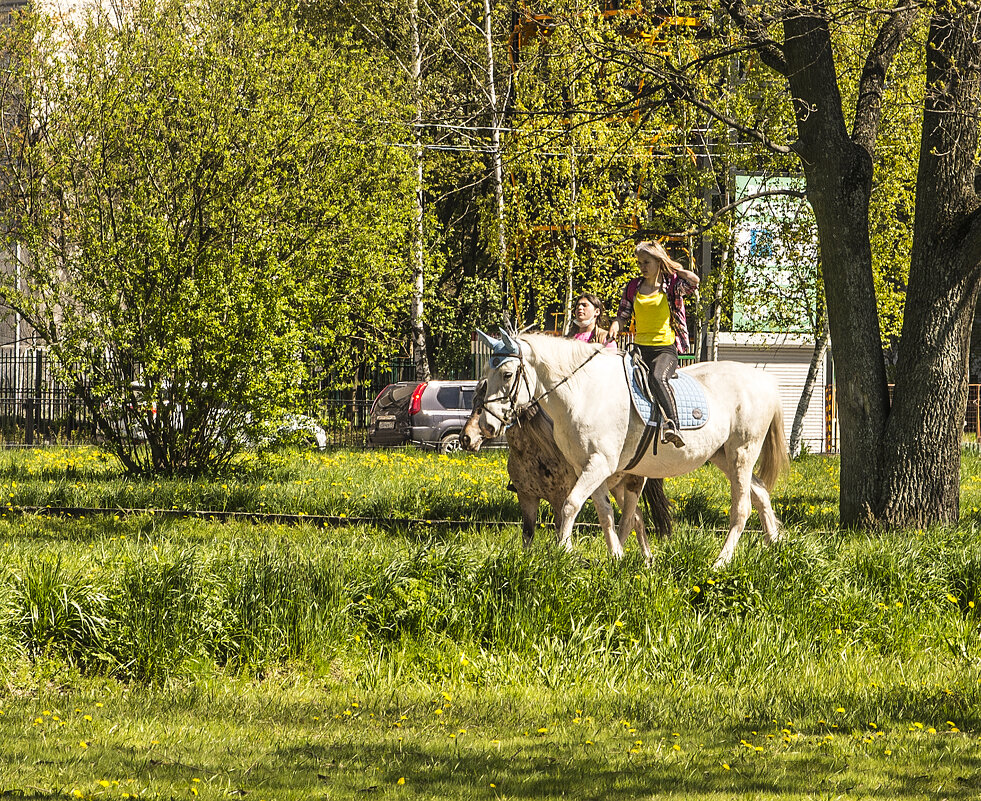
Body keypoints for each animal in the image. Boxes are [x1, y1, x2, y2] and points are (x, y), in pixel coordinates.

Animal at [468, 332, 788, 568]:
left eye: (507, 374)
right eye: (484, 376)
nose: (485, 426)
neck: (583, 393)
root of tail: (764, 381)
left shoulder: (597, 465)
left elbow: (571, 505)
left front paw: (564, 552)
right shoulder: (589, 468)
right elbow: (606, 513)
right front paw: (616, 557)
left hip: (742, 454)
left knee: (742, 508)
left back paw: (720, 562)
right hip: (723, 457)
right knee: (761, 493)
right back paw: (775, 549)